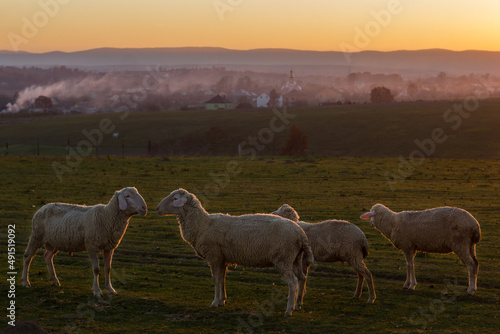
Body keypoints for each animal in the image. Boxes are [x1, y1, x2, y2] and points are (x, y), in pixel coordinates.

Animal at [155, 189, 312, 318]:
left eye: (175, 198)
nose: (156, 208)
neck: (202, 225)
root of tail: (301, 234)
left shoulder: (214, 256)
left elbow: (216, 279)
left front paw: (215, 302)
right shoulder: (222, 258)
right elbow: (222, 278)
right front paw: (222, 300)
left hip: (283, 258)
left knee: (293, 282)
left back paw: (288, 310)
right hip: (295, 258)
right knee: (302, 278)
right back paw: (298, 304)